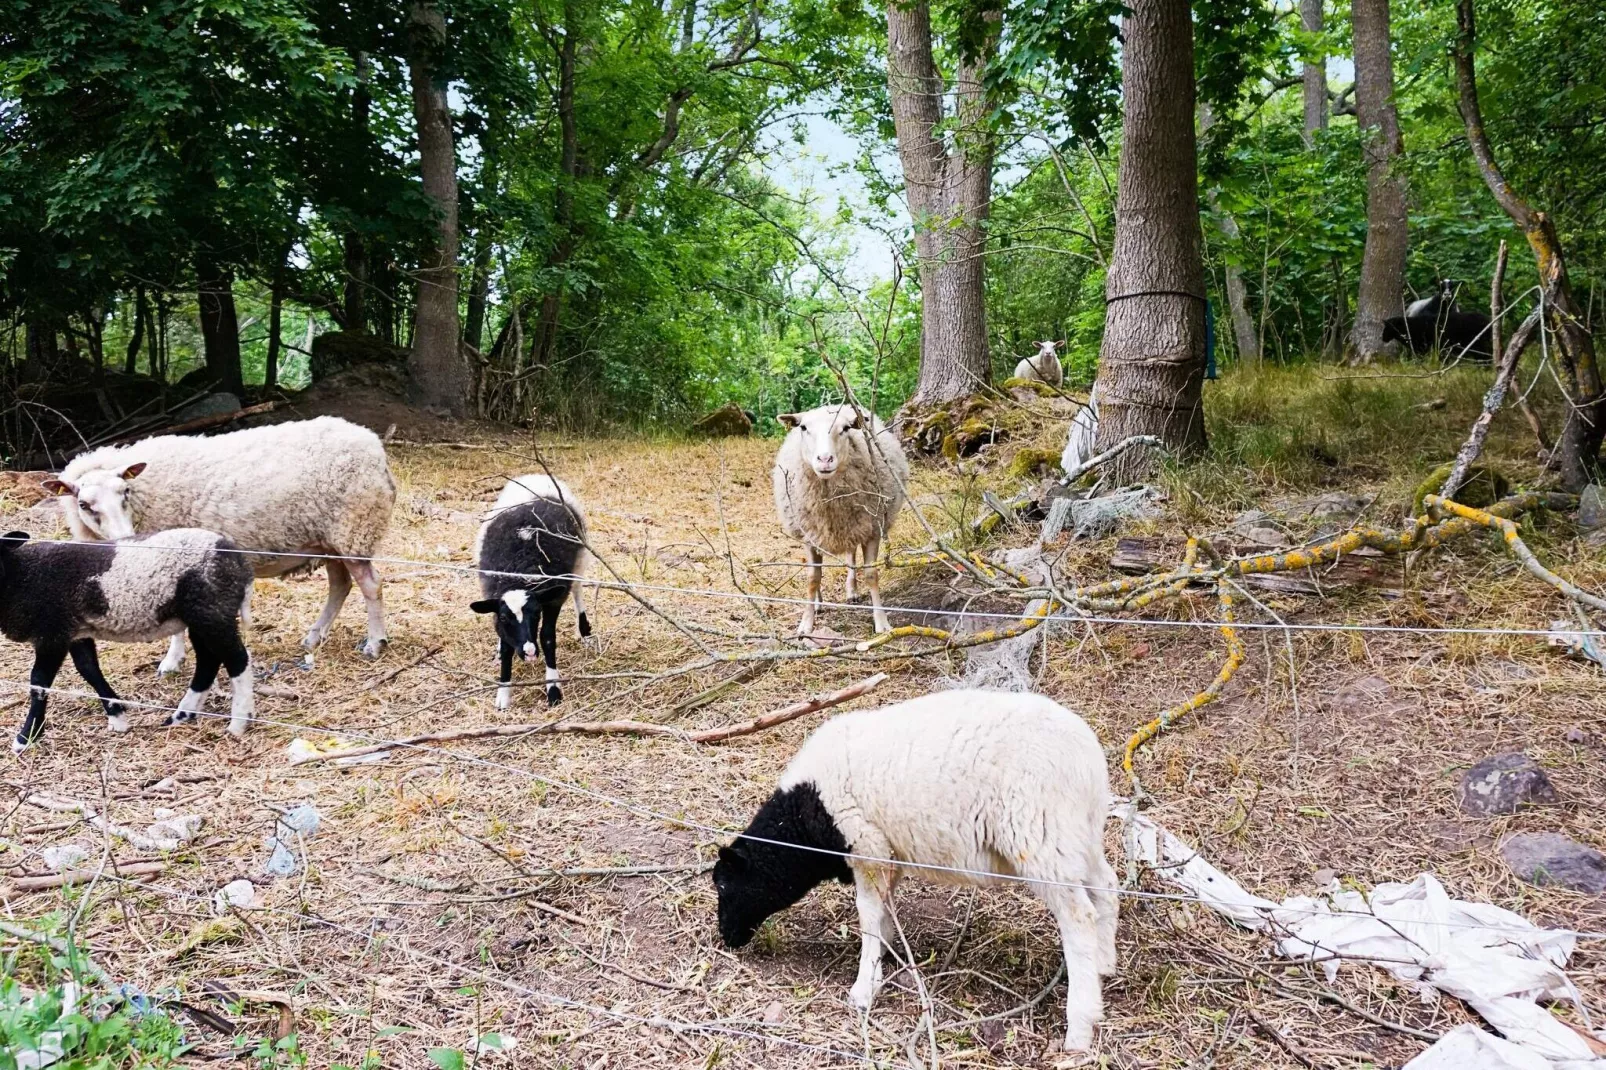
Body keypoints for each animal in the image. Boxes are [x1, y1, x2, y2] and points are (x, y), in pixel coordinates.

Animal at [0, 526, 256, 748]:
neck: (22, 576)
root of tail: (236, 559)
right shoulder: (75, 631)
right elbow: (89, 669)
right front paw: (118, 716)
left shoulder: (52, 632)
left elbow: (39, 682)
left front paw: (26, 737)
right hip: (199, 618)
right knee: (208, 661)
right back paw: (181, 716)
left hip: (211, 613)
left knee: (237, 660)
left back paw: (238, 723)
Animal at [44, 417, 398, 668]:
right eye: (84, 504)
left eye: (125, 493)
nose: (125, 540)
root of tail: (375, 448)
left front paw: (171, 661)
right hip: (328, 540)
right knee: (340, 585)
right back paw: (314, 637)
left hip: (354, 528)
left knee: (371, 585)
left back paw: (375, 643)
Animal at [716, 687, 1117, 1047]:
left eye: (723, 885)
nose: (726, 938)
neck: (801, 818)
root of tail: (1089, 759)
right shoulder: (887, 853)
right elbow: (884, 909)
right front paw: (884, 958)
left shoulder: (867, 846)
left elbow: (868, 913)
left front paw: (863, 988)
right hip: (1077, 838)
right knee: (1108, 889)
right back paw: (1104, 964)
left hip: (1041, 839)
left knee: (1079, 917)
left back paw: (1079, 1028)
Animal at [774, 400, 912, 633]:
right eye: (803, 428)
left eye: (846, 428)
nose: (825, 459)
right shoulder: (809, 535)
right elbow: (812, 578)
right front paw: (806, 623)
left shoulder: (872, 528)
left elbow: (871, 575)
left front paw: (881, 622)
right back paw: (818, 603)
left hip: (855, 525)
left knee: (851, 555)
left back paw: (852, 591)